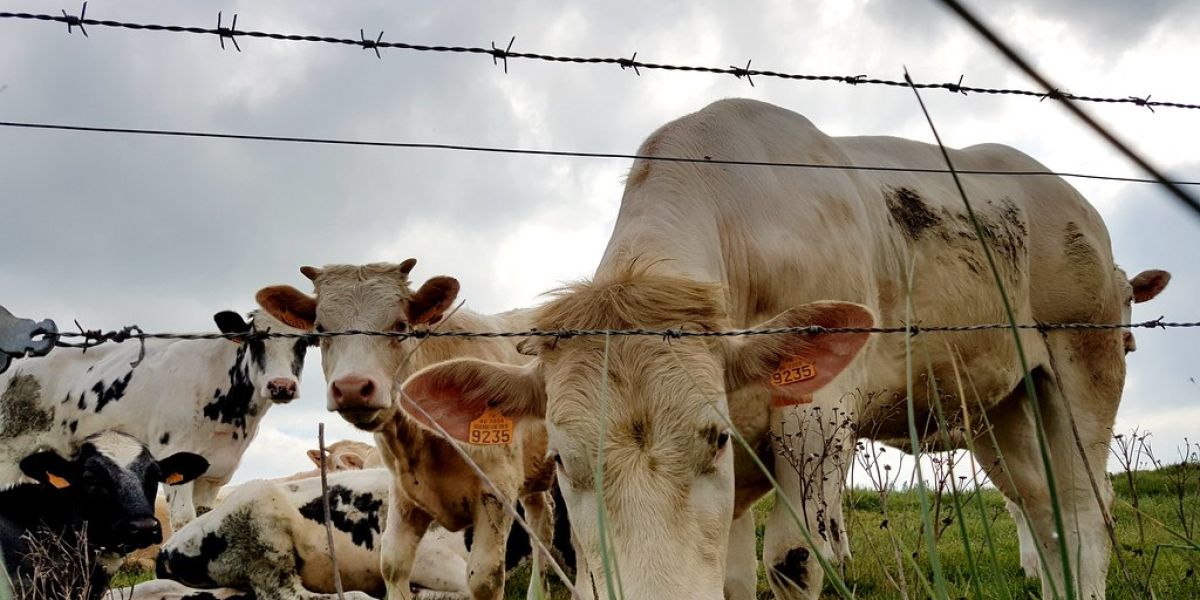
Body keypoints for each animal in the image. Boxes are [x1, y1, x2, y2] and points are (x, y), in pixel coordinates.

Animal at [0, 309, 311, 532]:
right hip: (9, 450)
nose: (281, 386)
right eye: (255, 340)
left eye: (304, 343)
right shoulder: (173, 455)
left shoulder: (214, 475)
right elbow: (184, 519)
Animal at [254, 261, 558, 600]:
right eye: (320, 330)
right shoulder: (403, 493)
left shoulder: (497, 488)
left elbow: (484, 578)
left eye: (400, 325)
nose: (352, 388)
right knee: (541, 521)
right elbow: (393, 563)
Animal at [397, 98, 1145, 599]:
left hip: (1084, 363)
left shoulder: (818, 417)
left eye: (714, 439)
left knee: (1084, 509)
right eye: (559, 458)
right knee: (1042, 511)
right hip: (999, 401)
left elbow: (793, 561)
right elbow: (731, 579)